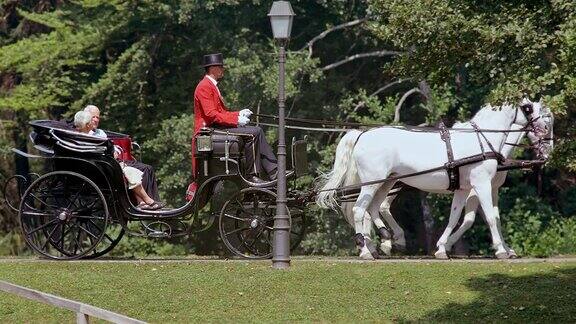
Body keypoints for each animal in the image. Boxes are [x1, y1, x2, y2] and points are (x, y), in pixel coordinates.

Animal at [320, 98, 548, 258]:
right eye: (528, 108)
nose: (545, 130)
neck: (483, 140)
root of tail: (362, 135)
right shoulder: (482, 184)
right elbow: (491, 218)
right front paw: (501, 250)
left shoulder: (464, 189)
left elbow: (455, 218)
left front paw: (442, 248)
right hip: (372, 183)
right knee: (360, 210)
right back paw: (367, 250)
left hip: (387, 182)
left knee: (374, 208)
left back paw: (387, 239)